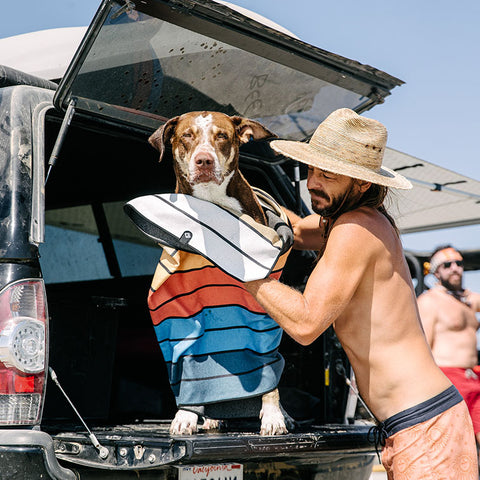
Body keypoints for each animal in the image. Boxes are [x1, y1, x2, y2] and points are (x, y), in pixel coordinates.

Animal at [148, 111, 290, 436]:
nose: (204, 160)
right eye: (186, 136)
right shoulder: (183, 307)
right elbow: (190, 365)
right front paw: (186, 415)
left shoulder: (262, 311)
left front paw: (273, 416)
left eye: (222, 136)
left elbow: (269, 373)